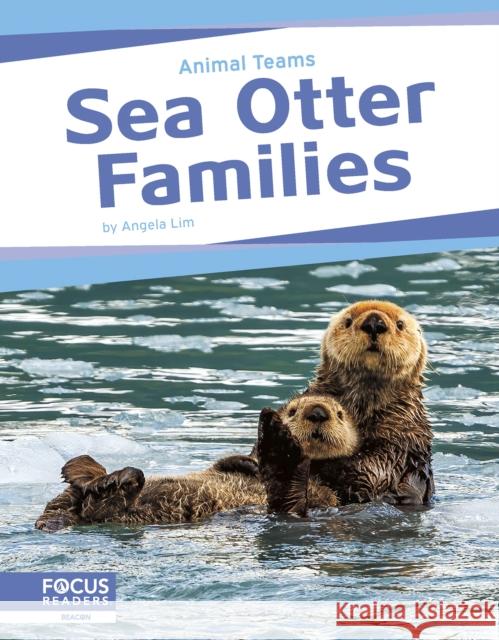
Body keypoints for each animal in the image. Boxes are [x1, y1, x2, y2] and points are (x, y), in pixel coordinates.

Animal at [35, 394, 358, 530]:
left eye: (339, 414)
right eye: (292, 410)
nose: (317, 412)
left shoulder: (328, 496)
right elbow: (228, 463)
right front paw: (249, 463)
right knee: (66, 499)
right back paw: (88, 470)